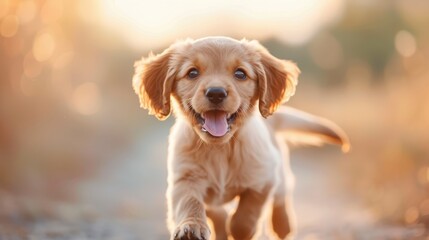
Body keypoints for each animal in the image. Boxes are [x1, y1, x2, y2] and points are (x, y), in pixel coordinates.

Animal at [131, 36, 348, 240]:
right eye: (192, 73)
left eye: (240, 74)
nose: (216, 93)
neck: (219, 147)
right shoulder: (184, 178)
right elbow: (190, 202)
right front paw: (191, 228)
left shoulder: (264, 179)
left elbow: (246, 215)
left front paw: (241, 231)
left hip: (279, 171)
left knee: (283, 193)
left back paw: (282, 224)